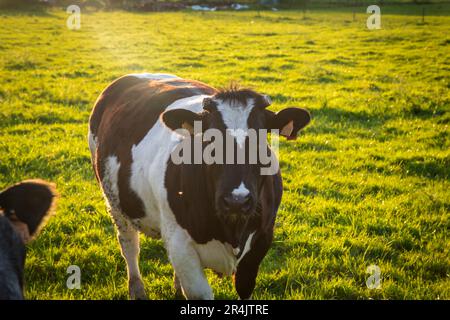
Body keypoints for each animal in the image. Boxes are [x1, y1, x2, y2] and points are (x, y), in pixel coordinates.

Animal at [89, 73, 312, 300]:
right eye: (209, 140)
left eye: (262, 141)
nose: (237, 200)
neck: (231, 231)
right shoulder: (180, 243)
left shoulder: (262, 240)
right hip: (114, 202)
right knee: (129, 245)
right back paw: (137, 289)